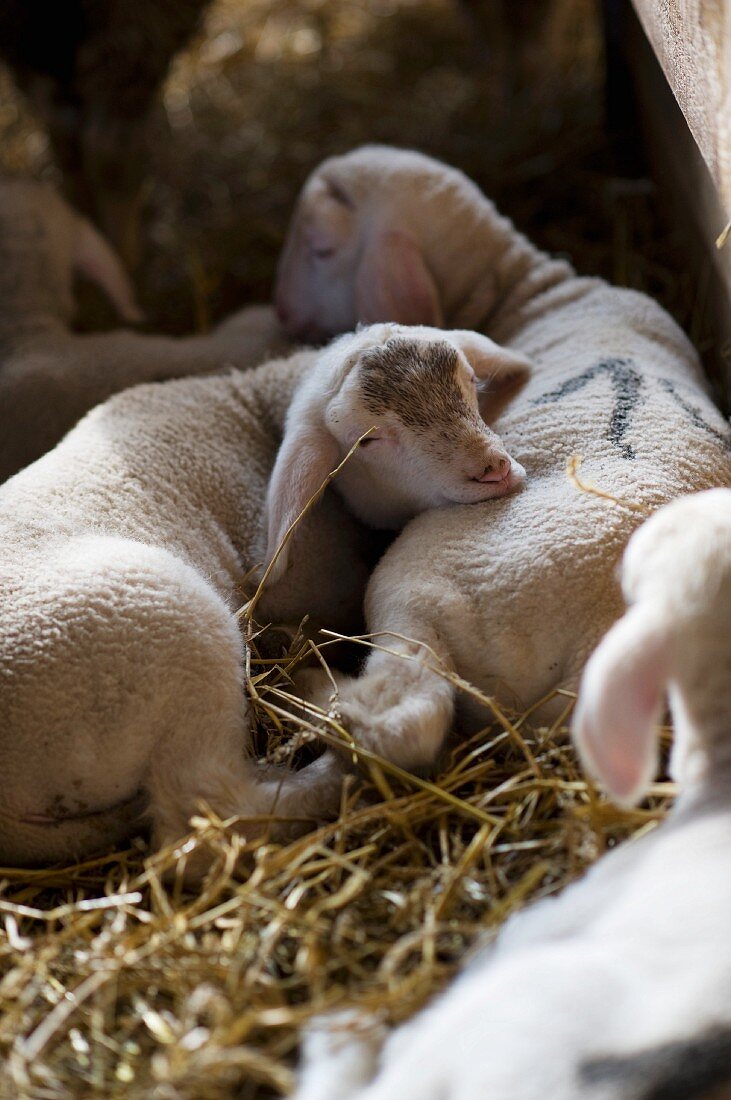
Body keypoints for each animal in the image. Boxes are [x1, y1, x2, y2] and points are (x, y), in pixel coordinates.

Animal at [0, 321, 525, 871]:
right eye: (370, 440)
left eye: (470, 382)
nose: (494, 469)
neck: (254, 400)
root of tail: (10, 807)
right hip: (174, 632)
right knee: (211, 818)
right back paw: (337, 754)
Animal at [274, 144, 729, 774]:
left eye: (320, 247)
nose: (282, 315)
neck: (529, 285)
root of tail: (598, 641)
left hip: (411, 593)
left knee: (404, 715)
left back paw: (316, 690)